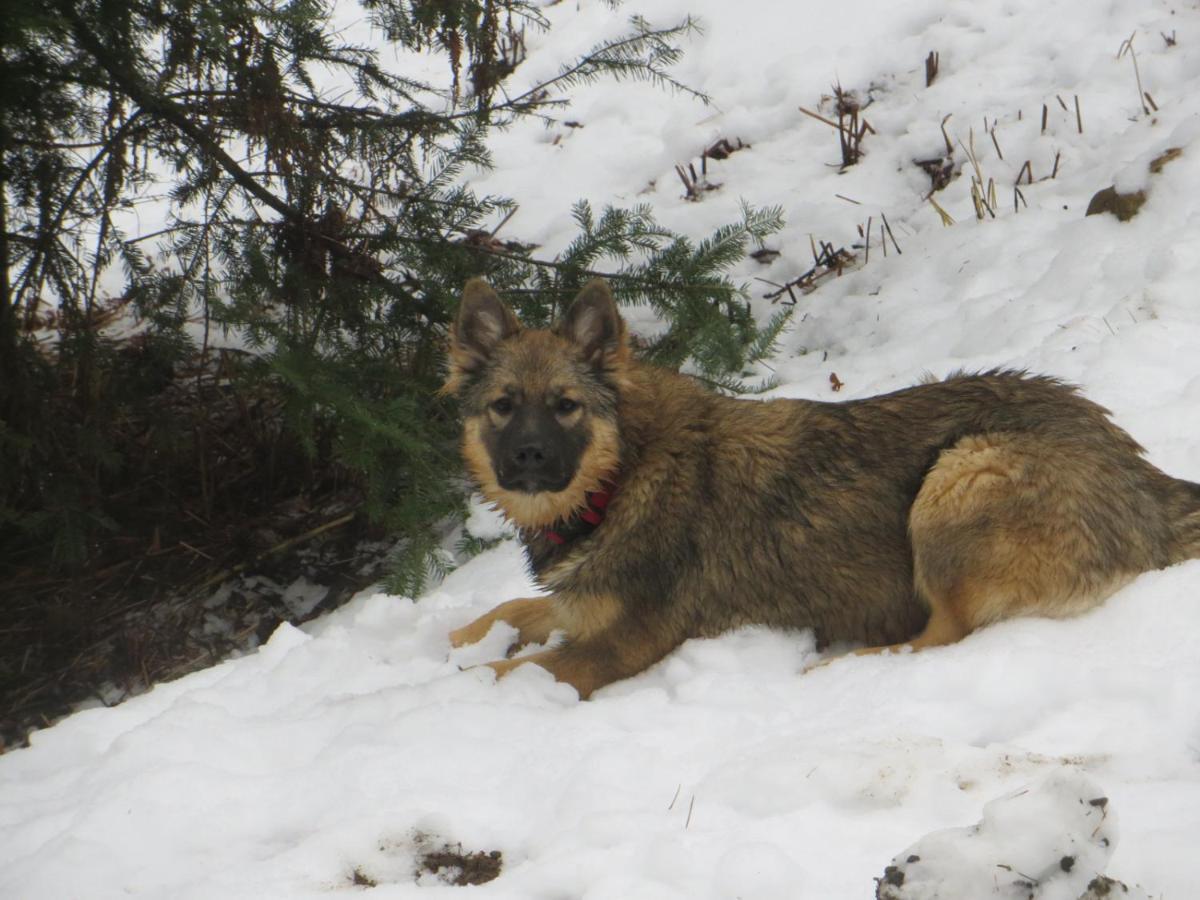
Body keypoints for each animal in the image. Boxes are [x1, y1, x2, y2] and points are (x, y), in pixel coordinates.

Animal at [441, 278, 1200, 700]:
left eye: (565, 406)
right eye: (503, 406)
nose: (528, 456)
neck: (620, 475)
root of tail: (1146, 480)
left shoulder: (618, 646)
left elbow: (499, 674)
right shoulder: (582, 603)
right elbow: (509, 609)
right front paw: (458, 636)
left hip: (959, 477)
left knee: (943, 639)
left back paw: (841, 668)